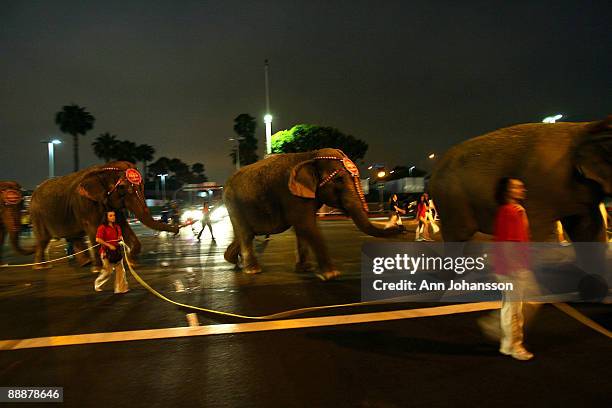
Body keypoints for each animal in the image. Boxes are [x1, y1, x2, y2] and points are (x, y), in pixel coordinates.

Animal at [29, 161, 178, 270]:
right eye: (122, 187)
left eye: (142, 186)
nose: (177, 229)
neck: (103, 168)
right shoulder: (84, 203)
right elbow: (94, 229)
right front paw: (99, 269)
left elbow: (122, 225)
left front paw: (133, 262)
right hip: (37, 215)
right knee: (43, 240)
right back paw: (41, 267)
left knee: (74, 237)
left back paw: (85, 263)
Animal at [222, 147, 404, 280]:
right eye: (338, 180)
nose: (400, 227)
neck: (310, 155)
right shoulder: (290, 194)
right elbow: (306, 226)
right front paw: (331, 275)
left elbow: (302, 228)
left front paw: (305, 269)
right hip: (233, 203)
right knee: (246, 234)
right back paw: (253, 270)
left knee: (246, 233)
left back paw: (232, 260)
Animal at [430, 115, 612, 242]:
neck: (587, 127)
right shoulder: (540, 187)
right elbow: (539, 233)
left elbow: (589, 231)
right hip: (451, 199)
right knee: (460, 235)